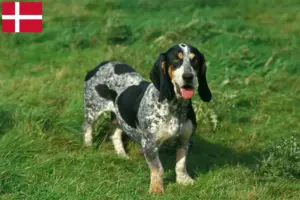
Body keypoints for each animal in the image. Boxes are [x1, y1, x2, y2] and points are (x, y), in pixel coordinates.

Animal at [82, 43, 211, 194]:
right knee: (87, 127)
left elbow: (181, 164)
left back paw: (122, 154)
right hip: (92, 111)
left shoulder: (184, 141)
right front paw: (156, 188)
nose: (188, 76)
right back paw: (88, 146)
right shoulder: (149, 144)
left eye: (195, 60)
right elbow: (158, 168)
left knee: (115, 134)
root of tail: (101, 64)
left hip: (119, 118)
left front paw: (184, 181)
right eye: (175, 60)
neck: (175, 106)